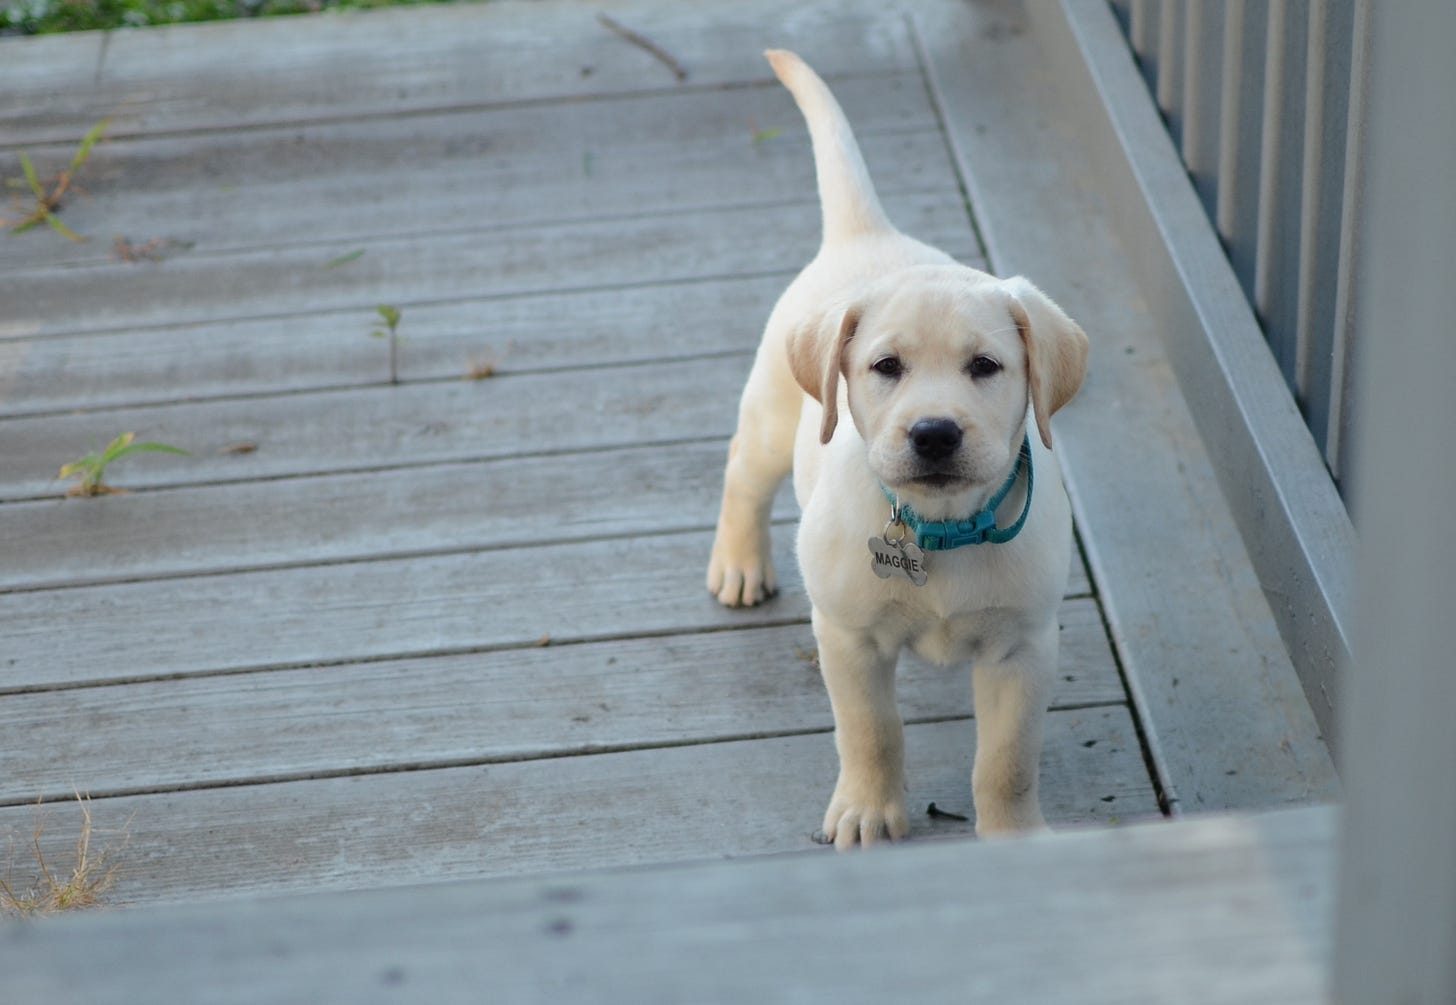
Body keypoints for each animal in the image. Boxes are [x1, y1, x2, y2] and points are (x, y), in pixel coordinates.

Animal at [710, 48, 1089, 844]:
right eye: (886, 367)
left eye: (986, 367)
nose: (935, 432)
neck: (941, 527)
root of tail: (869, 235)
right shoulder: (848, 639)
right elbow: (871, 731)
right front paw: (867, 809)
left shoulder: (1023, 648)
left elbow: (1007, 761)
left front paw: (1014, 835)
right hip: (770, 419)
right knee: (742, 473)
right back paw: (739, 562)